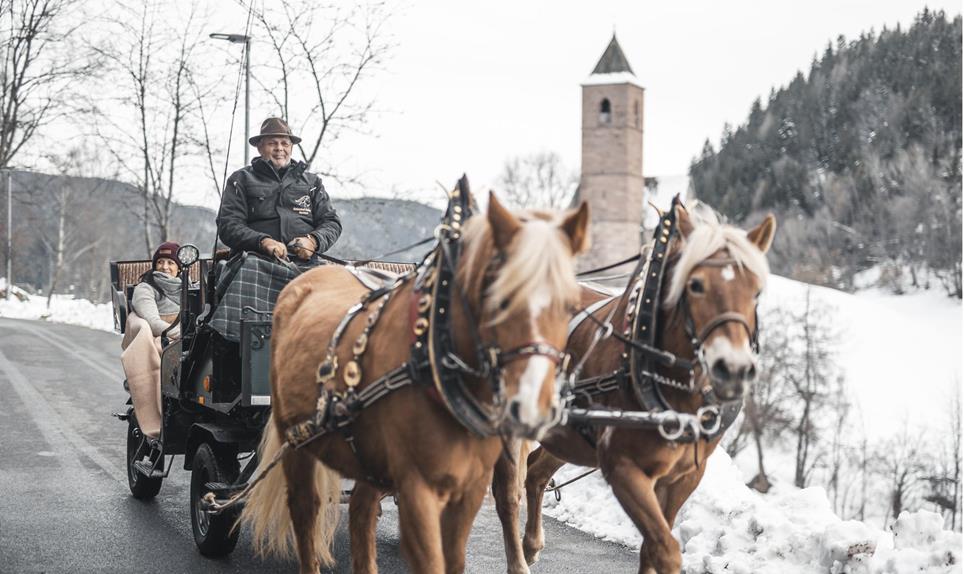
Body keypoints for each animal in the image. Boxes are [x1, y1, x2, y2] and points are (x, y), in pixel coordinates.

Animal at [237, 182, 592, 574]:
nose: (532, 405)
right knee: (305, 510)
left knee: (360, 511)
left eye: (571, 305)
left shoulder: (470, 482)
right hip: (297, 444)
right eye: (501, 299)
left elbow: (494, 511)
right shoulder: (416, 486)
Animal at [490, 204, 776, 574]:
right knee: (506, 493)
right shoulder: (622, 468)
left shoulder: (683, 476)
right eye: (695, 285)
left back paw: (531, 545)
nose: (734, 369)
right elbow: (665, 549)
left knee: (536, 471)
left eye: (756, 291)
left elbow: (652, 547)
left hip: (569, 437)